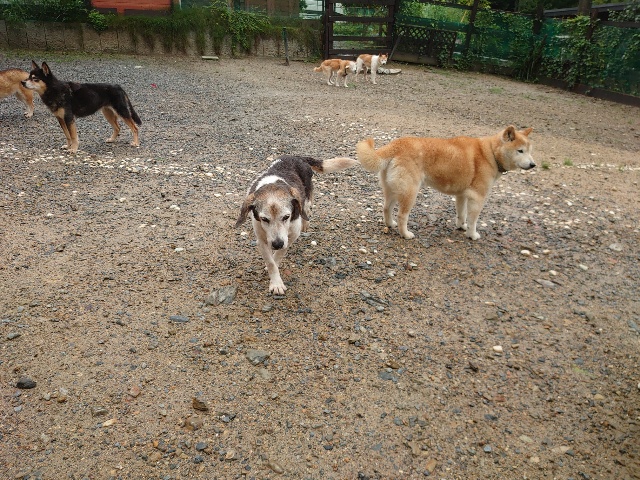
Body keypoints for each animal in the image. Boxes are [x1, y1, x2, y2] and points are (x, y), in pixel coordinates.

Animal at [236, 155, 358, 295]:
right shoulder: (261, 241)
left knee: (306, 209)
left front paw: (276, 276)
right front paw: (276, 281)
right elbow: (271, 263)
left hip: (307, 196)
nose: (277, 244)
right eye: (264, 219)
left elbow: (279, 255)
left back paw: (305, 223)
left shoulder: (291, 236)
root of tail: (296, 156)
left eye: (286, 217)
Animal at [356, 126, 535, 240]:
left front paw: (461, 226)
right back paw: (405, 234)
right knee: (402, 215)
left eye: (529, 150)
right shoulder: (477, 197)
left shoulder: (462, 196)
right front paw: (472, 235)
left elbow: (462, 214)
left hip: (393, 190)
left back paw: (390, 224)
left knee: (386, 208)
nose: (533, 164)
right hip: (410, 193)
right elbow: (473, 221)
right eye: (520, 151)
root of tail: (395, 144)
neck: (490, 153)